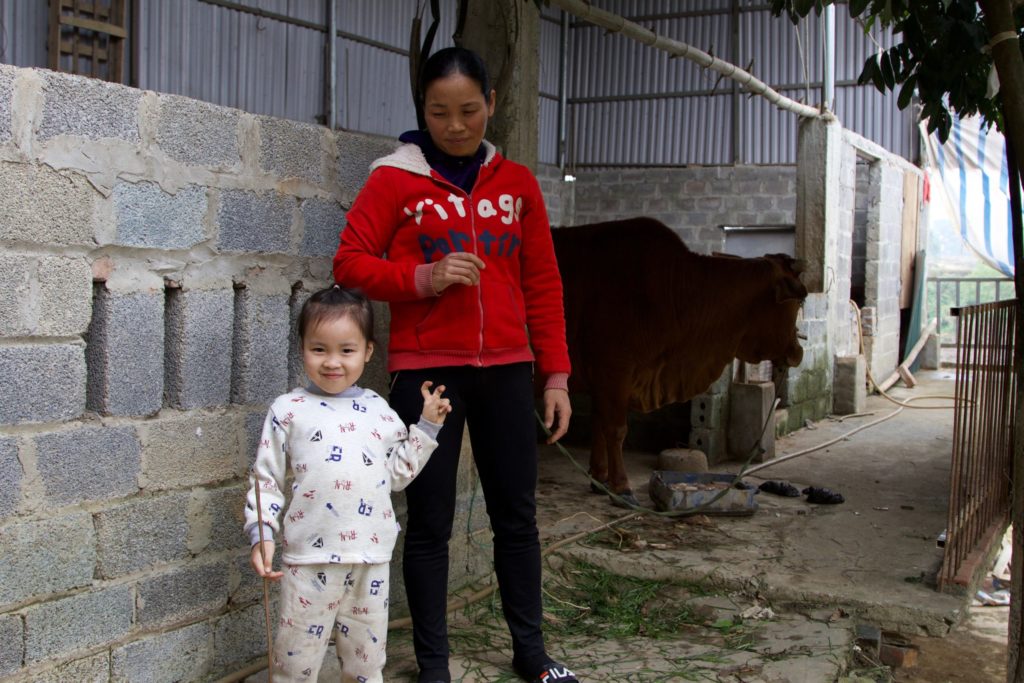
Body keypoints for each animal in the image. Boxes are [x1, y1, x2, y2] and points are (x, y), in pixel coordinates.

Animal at [552, 216, 806, 505]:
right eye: (800, 299)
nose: (798, 351)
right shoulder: (614, 370)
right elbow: (616, 429)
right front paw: (622, 487)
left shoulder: (603, 379)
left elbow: (598, 424)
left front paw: (599, 477)